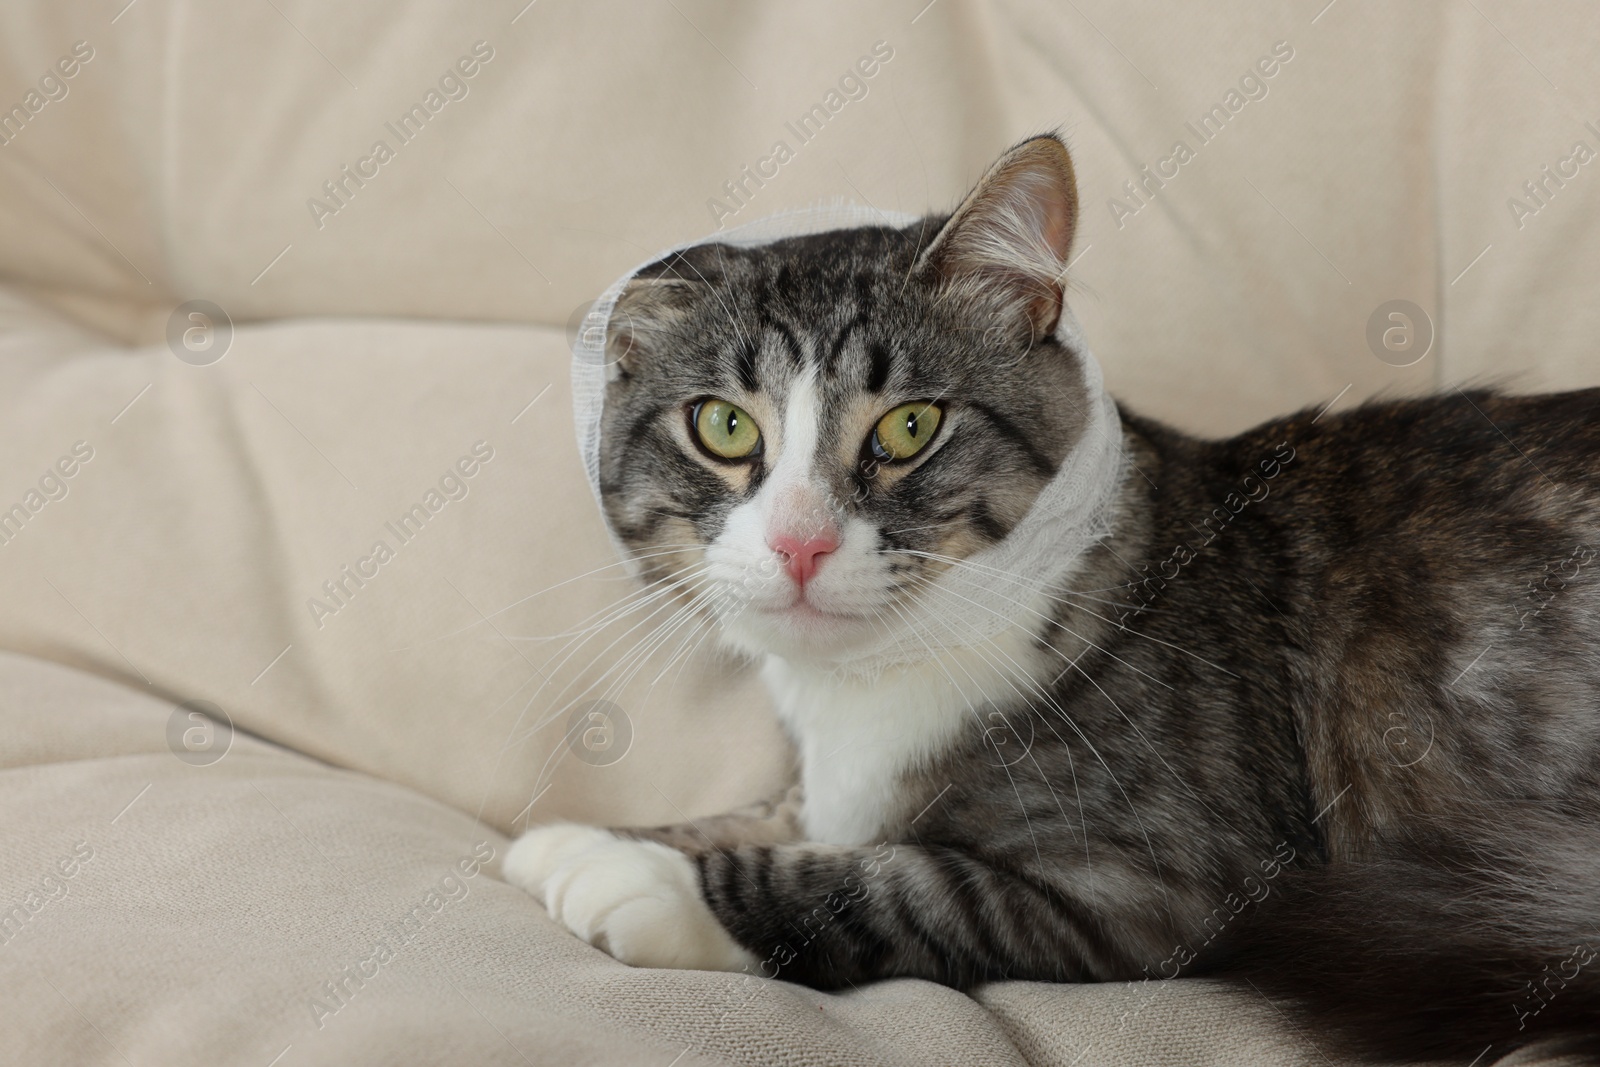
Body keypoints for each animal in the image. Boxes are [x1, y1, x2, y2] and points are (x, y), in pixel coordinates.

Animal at [505, 133, 1600, 1062]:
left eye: (909, 427)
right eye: (725, 427)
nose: (799, 540)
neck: (861, 688)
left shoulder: (1164, 879)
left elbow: (894, 878)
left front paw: (637, 878)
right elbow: (767, 813)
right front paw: (580, 841)